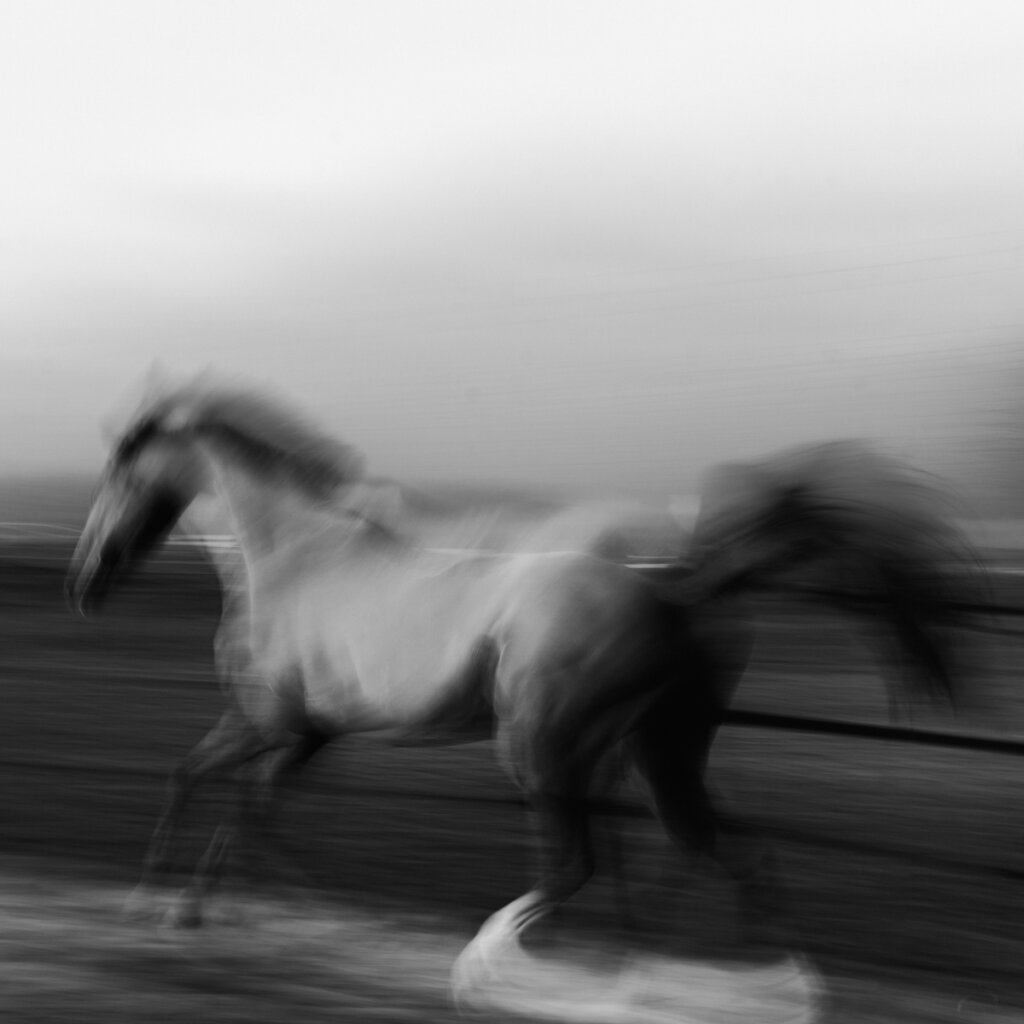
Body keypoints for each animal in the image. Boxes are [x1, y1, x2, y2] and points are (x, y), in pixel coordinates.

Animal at [68, 376, 978, 999]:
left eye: (119, 473)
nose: (86, 581)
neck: (293, 559)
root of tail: (681, 588)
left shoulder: (280, 726)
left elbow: (236, 802)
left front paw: (219, 907)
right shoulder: (301, 734)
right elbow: (215, 790)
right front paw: (180, 906)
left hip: (544, 743)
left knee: (581, 861)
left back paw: (489, 965)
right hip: (658, 746)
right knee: (715, 850)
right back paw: (713, 980)